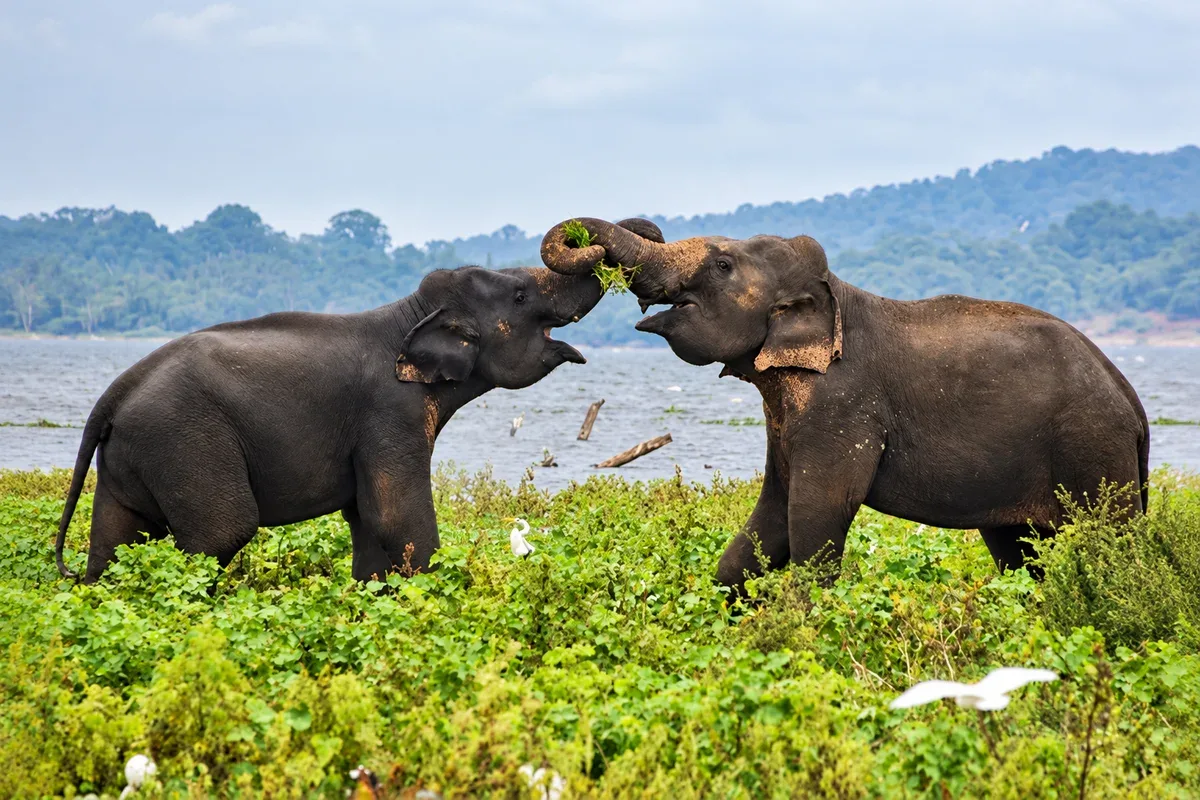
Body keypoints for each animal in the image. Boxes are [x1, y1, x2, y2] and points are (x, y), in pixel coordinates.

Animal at [55, 263, 604, 583]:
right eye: (520, 295)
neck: (409, 313)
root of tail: (113, 395)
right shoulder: (390, 412)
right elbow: (396, 517)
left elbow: (367, 521)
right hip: (183, 441)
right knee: (222, 532)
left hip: (133, 454)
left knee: (117, 540)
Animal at [540, 217, 1150, 589]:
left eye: (722, 266)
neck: (834, 292)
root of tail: (1133, 403)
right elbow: (770, 516)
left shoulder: (842, 403)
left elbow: (816, 512)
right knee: (1019, 552)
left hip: (1093, 448)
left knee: (1109, 543)